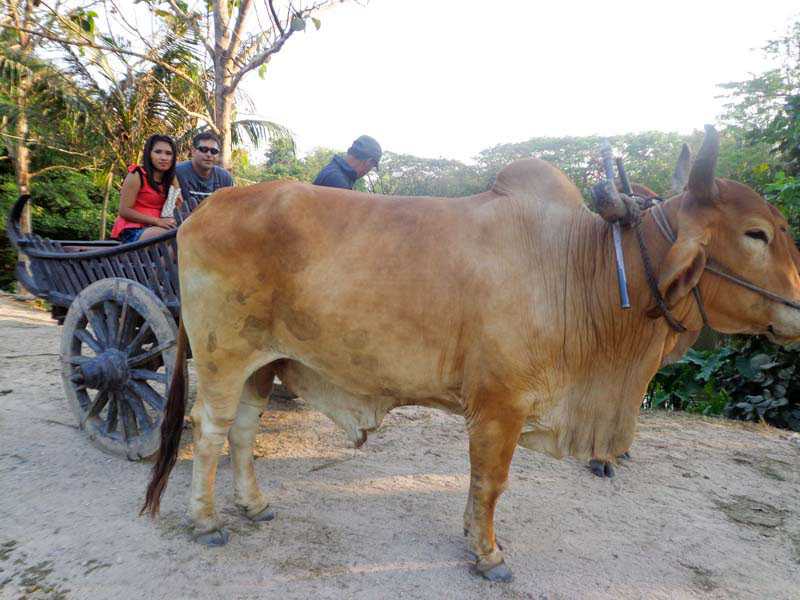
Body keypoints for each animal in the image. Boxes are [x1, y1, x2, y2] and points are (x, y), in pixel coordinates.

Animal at [141, 126, 800, 580]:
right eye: (756, 233)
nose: (797, 307)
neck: (580, 270)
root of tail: (203, 210)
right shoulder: (500, 406)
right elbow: (490, 481)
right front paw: (487, 554)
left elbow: (481, 484)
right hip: (224, 356)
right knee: (209, 431)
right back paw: (206, 521)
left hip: (264, 363)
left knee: (245, 429)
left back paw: (254, 505)